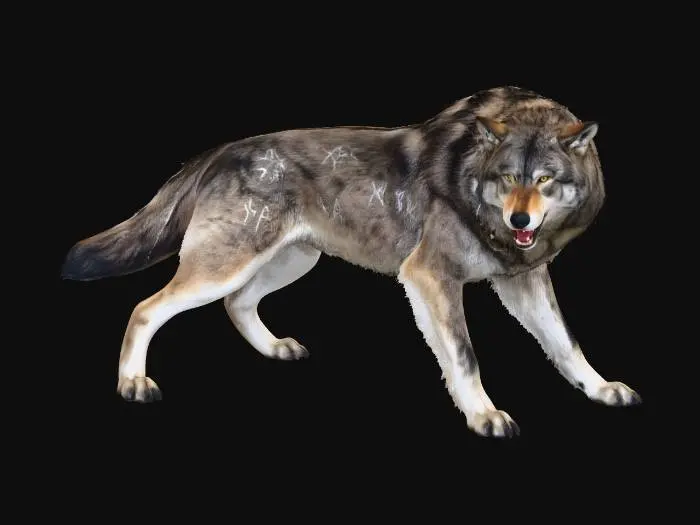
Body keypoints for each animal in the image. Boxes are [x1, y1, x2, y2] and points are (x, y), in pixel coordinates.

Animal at [62, 86, 641, 437]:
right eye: (507, 177)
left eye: (544, 179)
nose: (521, 220)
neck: (470, 177)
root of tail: (222, 150)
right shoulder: (431, 279)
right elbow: (465, 356)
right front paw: (484, 415)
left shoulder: (524, 281)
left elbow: (567, 345)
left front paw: (600, 389)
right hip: (226, 266)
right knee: (145, 308)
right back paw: (133, 384)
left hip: (290, 263)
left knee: (237, 304)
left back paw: (274, 348)